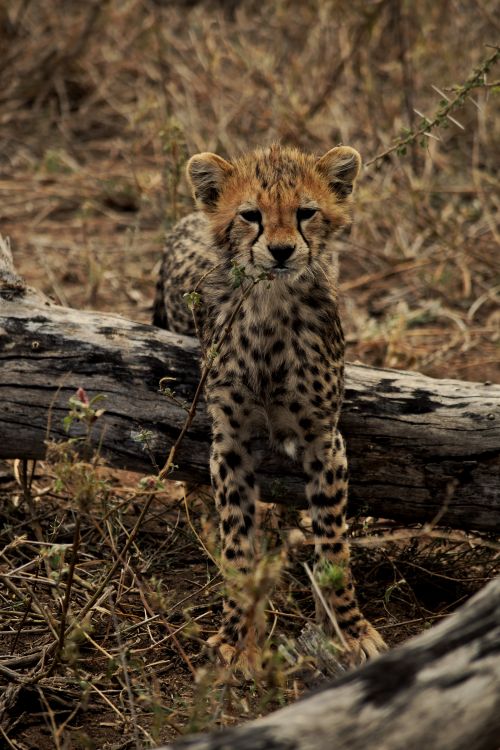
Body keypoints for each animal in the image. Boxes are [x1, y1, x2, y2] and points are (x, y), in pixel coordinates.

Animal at [153, 143, 387, 667]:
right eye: (250, 216)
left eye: (306, 212)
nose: (281, 251)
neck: (271, 303)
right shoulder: (231, 443)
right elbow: (238, 544)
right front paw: (236, 638)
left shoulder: (324, 439)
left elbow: (333, 544)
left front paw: (348, 629)